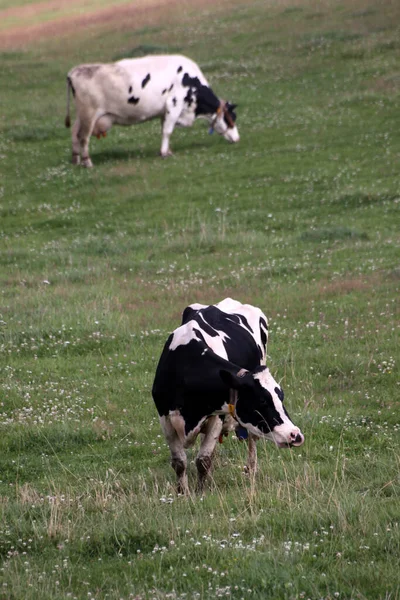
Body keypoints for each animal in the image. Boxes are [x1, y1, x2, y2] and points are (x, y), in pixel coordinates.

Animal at [64, 54, 239, 166]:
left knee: (74, 132)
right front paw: (164, 153)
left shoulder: (164, 112)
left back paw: (75, 159)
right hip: (89, 115)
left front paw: (167, 150)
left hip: (82, 116)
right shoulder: (174, 105)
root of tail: (74, 72)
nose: (237, 139)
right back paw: (87, 162)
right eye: (231, 118)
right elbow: (168, 131)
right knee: (83, 137)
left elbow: (164, 130)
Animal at [152, 298, 304, 494]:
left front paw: (200, 492)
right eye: (262, 400)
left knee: (252, 440)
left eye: (281, 396)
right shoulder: (165, 417)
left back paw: (251, 470)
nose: (295, 435)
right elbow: (179, 462)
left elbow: (203, 460)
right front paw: (182, 493)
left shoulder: (217, 416)